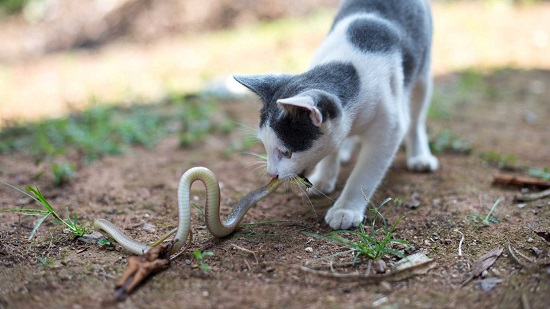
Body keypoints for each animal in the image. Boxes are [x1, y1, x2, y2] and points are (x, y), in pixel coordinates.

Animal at [233, 0, 440, 229]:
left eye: (287, 153)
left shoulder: (389, 128)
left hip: (422, 75)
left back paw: (420, 156)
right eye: (265, 146)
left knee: (416, 120)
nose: (271, 173)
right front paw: (324, 178)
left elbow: (365, 172)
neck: (348, 66)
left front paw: (345, 210)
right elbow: (332, 147)